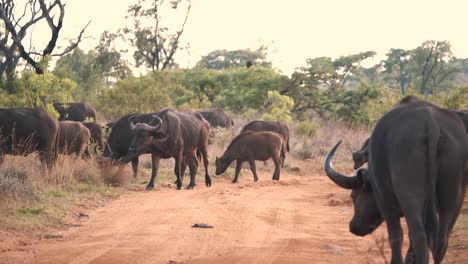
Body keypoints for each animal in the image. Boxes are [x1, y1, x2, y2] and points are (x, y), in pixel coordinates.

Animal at [324, 96, 466, 264]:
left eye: (353, 195)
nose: (353, 226)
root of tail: (432, 125)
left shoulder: (385, 198)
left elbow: (395, 235)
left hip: (410, 195)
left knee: (418, 234)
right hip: (453, 197)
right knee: (441, 239)